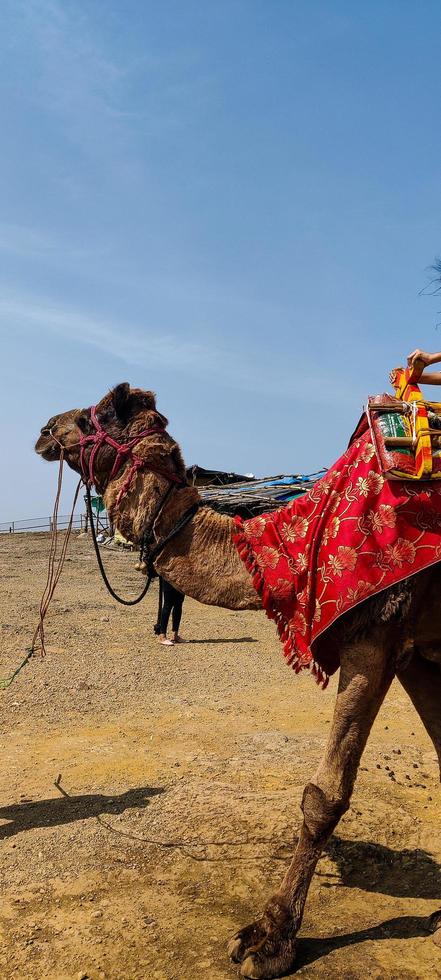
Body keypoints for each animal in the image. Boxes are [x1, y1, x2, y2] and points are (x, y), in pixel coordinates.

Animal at [35, 384, 440, 980]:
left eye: (99, 413)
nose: (45, 429)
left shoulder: (379, 628)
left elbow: (323, 795)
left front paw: (268, 940)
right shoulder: (421, 653)